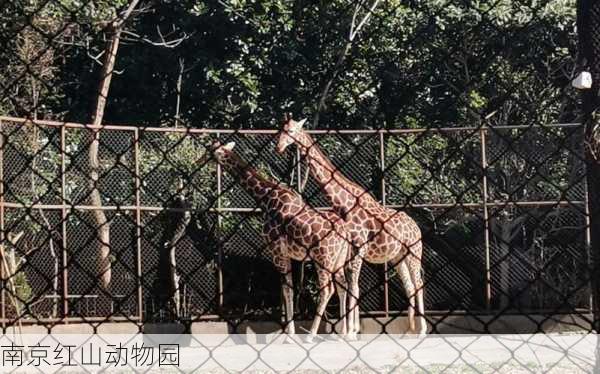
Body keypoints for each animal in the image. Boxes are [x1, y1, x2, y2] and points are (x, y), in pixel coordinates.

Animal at [202, 140, 352, 342]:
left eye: (211, 151)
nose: (201, 160)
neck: (267, 198)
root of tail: (345, 232)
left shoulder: (276, 251)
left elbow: (287, 290)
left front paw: (289, 335)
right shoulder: (286, 253)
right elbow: (289, 289)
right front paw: (290, 333)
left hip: (323, 258)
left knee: (328, 290)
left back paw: (311, 335)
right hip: (338, 259)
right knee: (343, 286)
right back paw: (343, 334)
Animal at [276, 118, 426, 338]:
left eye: (292, 131)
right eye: (281, 130)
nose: (279, 147)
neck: (344, 203)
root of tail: (417, 228)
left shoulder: (358, 248)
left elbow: (353, 287)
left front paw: (351, 332)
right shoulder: (349, 251)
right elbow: (348, 287)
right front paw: (348, 330)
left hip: (414, 252)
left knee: (419, 284)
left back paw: (422, 331)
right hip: (398, 257)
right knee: (409, 286)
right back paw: (409, 331)